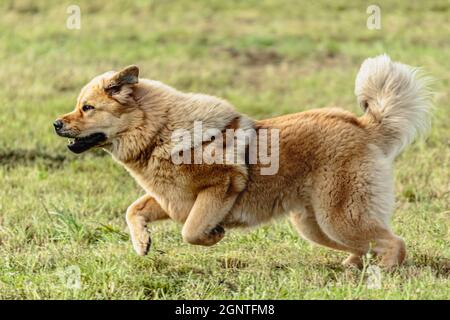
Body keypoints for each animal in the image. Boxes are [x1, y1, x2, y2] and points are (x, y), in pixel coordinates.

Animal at [55, 54, 432, 268]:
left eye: (87, 108)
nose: (56, 124)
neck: (158, 131)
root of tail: (363, 125)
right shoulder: (172, 200)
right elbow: (133, 209)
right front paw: (142, 243)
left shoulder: (219, 187)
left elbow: (191, 231)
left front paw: (214, 235)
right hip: (315, 225)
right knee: (369, 244)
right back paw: (353, 266)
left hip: (340, 217)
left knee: (394, 243)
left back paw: (384, 273)